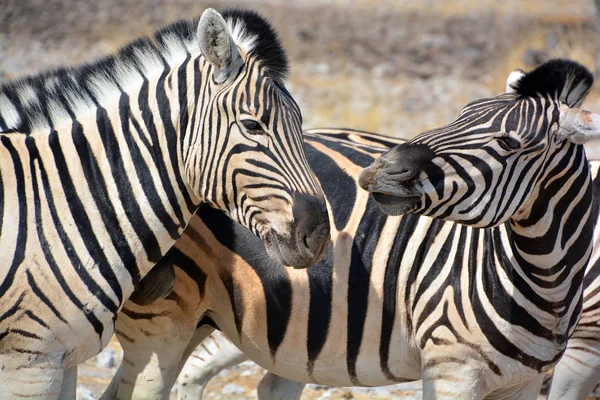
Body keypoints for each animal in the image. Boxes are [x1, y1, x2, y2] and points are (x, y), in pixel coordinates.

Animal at [0, 7, 330, 398]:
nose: (319, 235)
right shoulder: (30, 365)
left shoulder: (65, 359)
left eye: (301, 122)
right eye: (252, 125)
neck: (59, 207)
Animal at [101, 58, 600, 400]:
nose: (381, 169)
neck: (544, 284)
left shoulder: (532, 379)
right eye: (460, 114)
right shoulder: (454, 370)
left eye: (510, 143)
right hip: (169, 315)